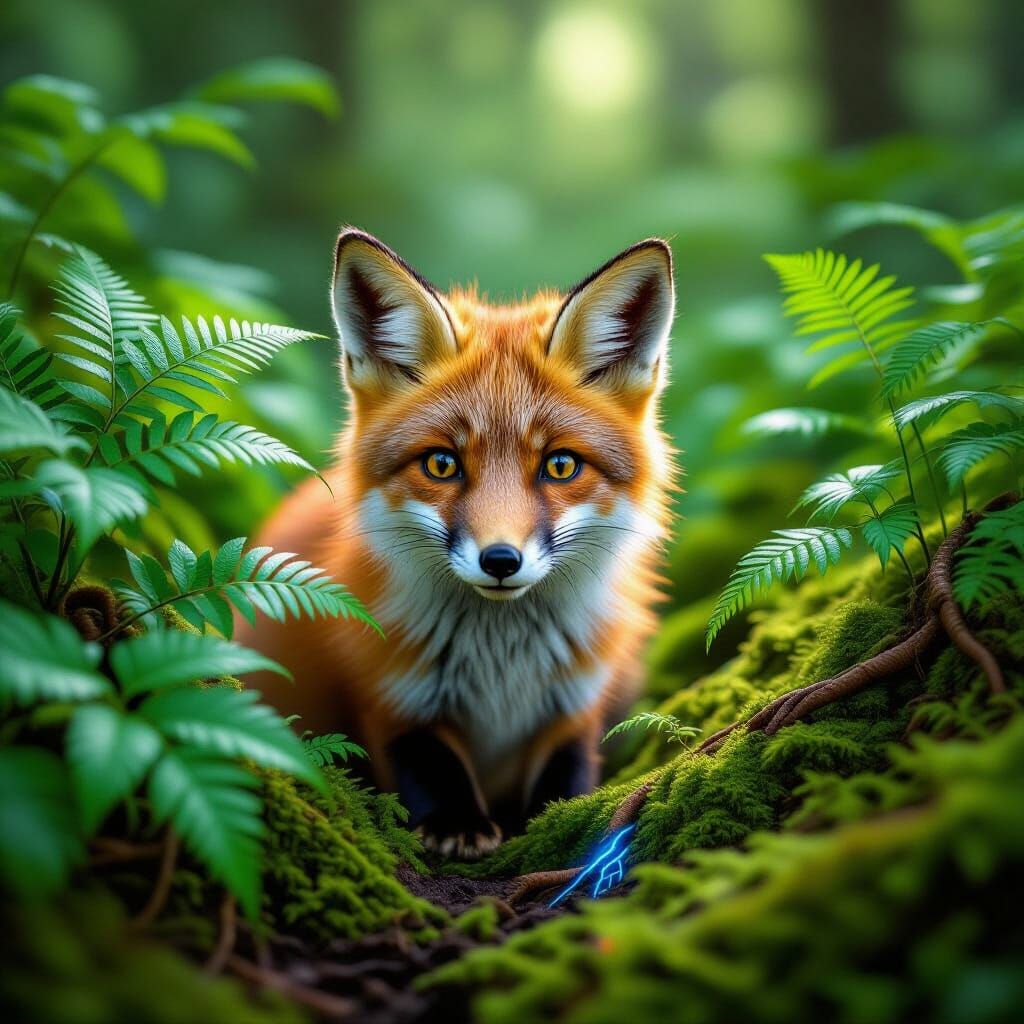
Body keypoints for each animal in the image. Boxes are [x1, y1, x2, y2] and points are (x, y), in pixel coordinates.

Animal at [236, 229, 675, 859]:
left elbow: (566, 780)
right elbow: (429, 762)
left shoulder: (575, 705)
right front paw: (456, 822)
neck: (502, 665)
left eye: (561, 465)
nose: (501, 560)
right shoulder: (389, 686)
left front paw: (554, 824)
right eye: (442, 464)